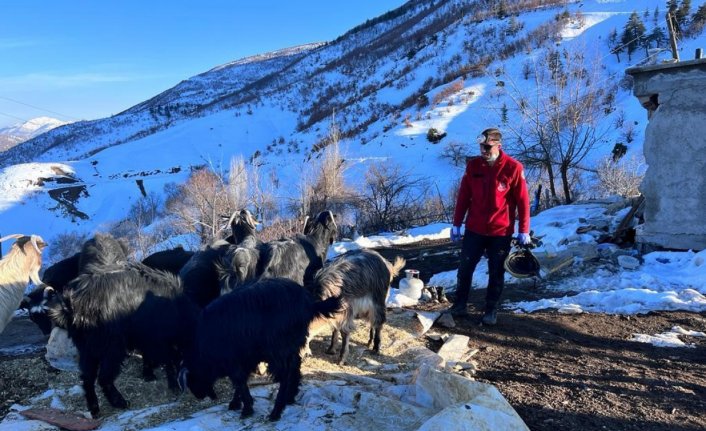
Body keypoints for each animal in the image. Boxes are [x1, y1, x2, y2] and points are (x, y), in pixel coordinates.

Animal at [49, 262, 198, 416]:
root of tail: (74, 307)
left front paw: (149, 375)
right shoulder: (157, 338)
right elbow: (167, 358)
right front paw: (173, 385)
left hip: (87, 348)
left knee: (87, 377)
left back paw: (95, 410)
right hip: (111, 346)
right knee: (103, 377)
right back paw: (121, 403)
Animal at [177, 276, 340, 422]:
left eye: (192, 379)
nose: (200, 396)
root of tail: (308, 303)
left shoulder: (234, 361)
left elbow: (239, 381)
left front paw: (246, 409)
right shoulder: (246, 358)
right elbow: (240, 382)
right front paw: (237, 403)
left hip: (279, 350)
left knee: (285, 375)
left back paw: (276, 412)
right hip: (292, 344)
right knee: (296, 366)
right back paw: (290, 397)